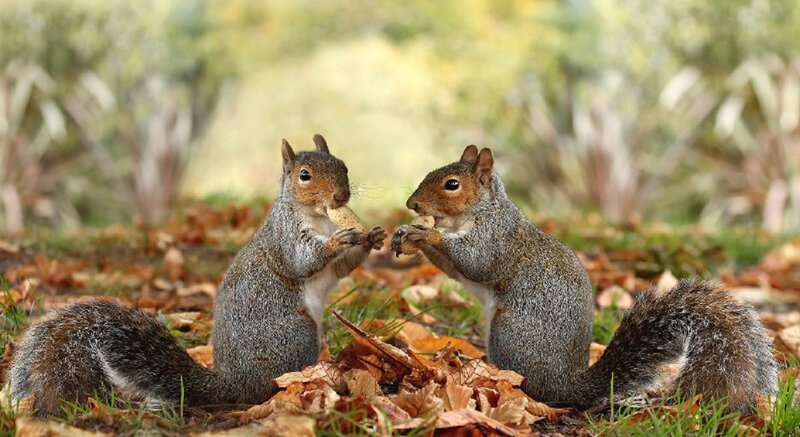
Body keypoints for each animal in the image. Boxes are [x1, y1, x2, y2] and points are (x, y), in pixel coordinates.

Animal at [8, 135, 387, 417]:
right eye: (304, 175)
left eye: (343, 166)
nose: (341, 195)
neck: (321, 219)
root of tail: (235, 384)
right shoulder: (285, 238)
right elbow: (302, 262)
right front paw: (338, 241)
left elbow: (342, 267)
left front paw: (372, 237)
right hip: (297, 333)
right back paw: (312, 380)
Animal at [391, 145, 777, 414]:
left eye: (451, 185)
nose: (411, 204)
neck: (480, 212)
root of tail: (568, 385)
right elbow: (452, 268)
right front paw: (406, 236)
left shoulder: (495, 240)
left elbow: (474, 263)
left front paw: (426, 234)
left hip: (510, 331)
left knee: (526, 385)